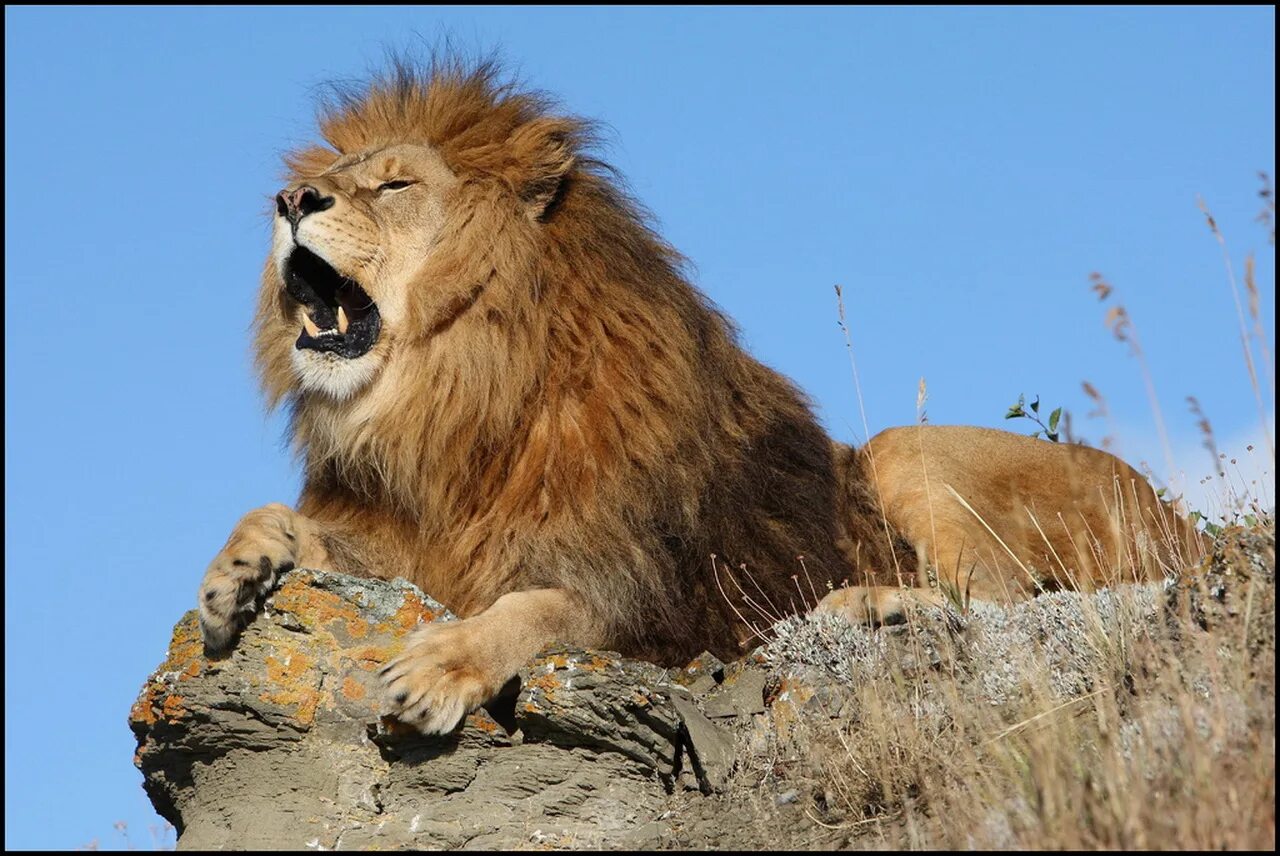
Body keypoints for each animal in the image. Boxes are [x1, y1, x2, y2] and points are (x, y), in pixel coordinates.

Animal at [197, 58, 1198, 737]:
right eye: (332, 179)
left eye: (397, 182)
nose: (291, 199)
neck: (452, 409)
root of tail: (1179, 518)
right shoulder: (417, 548)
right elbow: (285, 521)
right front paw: (233, 577)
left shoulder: (646, 606)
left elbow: (535, 608)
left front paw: (443, 664)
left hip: (906, 452)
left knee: (1004, 602)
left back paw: (866, 605)